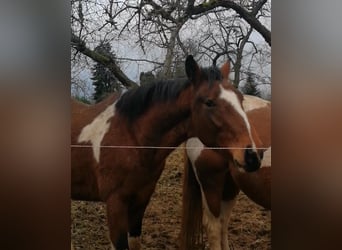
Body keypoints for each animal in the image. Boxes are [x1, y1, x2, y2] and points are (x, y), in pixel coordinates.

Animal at [70, 56, 262, 250]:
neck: (131, 136)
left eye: (240, 99)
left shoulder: (141, 199)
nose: (252, 156)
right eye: (209, 102)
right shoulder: (115, 203)